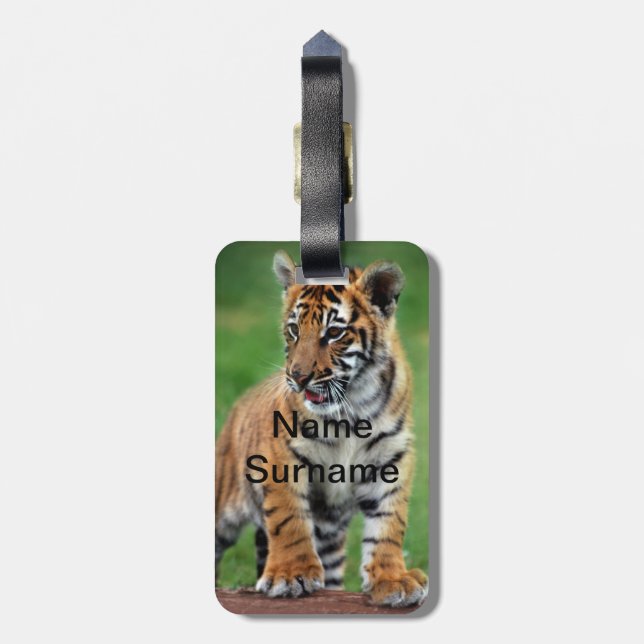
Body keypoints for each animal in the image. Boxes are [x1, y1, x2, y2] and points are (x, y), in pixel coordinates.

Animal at [215, 250, 428, 607]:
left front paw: (392, 578)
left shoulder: (392, 459)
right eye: (293, 330)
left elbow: (389, 524)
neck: (352, 409)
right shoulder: (281, 456)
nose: (298, 377)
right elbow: (289, 518)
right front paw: (291, 574)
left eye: (334, 333)